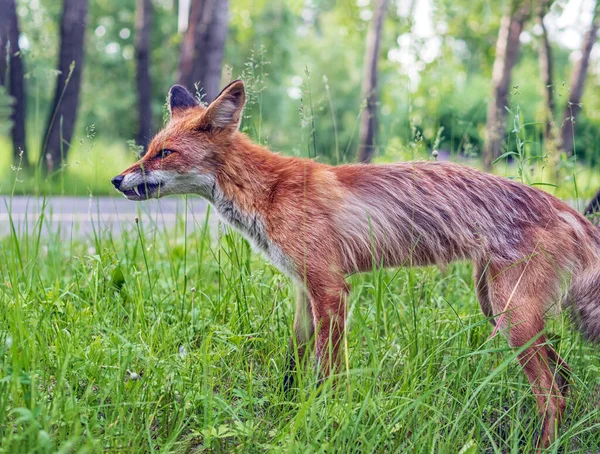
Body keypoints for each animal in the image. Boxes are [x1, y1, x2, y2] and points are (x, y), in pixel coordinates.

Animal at [113, 79, 600, 446]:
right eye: (149, 148)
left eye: (164, 153)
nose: (116, 179)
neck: (268, 192)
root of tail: (569, 211)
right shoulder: (303, 289)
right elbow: (293, 364)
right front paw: (285, 412)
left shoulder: (330, 288)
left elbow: (328, 372)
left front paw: (322, 420)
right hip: (498, 308)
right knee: (565, 378)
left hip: (511, 315)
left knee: (552, 395)